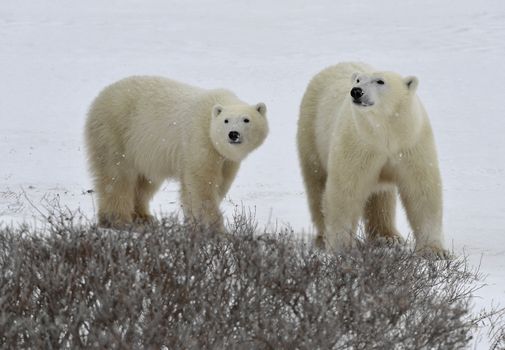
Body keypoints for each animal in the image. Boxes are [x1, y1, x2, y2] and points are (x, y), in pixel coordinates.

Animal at [85, 76, 268, 230]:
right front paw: (213, 226)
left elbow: (219, 183)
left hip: (144, 153)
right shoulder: (200, 140)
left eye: (246, 119)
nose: (233, 134)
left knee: (145, 181)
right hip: (114, 133)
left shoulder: (226, 159)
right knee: (117, 177)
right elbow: (202, 183)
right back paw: (118, 220)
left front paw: (193, 222)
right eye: (226, 120)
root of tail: (100, 97)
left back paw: (144, 217)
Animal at [298, 62, 446, 258]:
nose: (356, 91)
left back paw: (388, 237)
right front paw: (342, 247)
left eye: (380, 81)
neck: (385, 132)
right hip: (311, 133)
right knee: (317, 185)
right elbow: (345, 189)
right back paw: (323, 238)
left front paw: (435, 251)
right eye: (359, 80)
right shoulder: (358, 143)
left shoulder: (411, 144)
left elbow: (421, 189)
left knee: (381, 196)